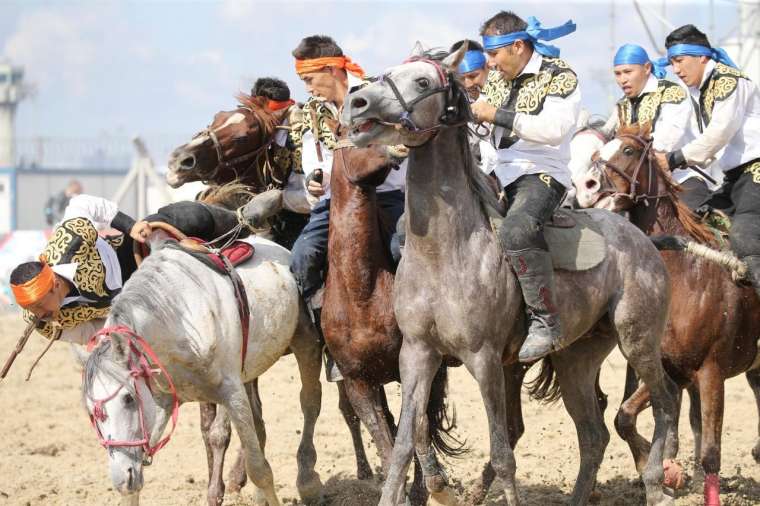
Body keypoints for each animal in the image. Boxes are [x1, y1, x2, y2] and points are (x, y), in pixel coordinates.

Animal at [81, 235, 324, 506]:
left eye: (128, 398)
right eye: (91, 412)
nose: (121, 477)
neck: (177, 322)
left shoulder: (232, 393)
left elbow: (259, 469)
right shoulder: (163, 401)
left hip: (305, 342)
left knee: (310, 402)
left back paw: (308, 481)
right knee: (259, 423)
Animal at [165, 93, 372, 504]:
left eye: (245, 133)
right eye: (217, 118)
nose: (181, 160)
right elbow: (240, 422)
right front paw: (227, 483)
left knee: (347, 406)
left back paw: (366, 470)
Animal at [342, 45, 680, 504]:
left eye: (424, 82)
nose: (357, 103)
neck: (446, 252)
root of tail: (644, 241)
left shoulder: (484, 359)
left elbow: (503, 455)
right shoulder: (417, 354)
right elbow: (402, 448)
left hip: (638, 339)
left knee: (664, 403)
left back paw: (657, 481)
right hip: (576, 357)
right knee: (594, 435)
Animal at [576, 123, 760, 506]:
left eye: (628, 151)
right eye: (599, 153)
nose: (586, 187)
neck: (687, 275)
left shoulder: (711, 373)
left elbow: (710, 454)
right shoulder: (669, 369)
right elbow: (624, 417)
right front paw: (663, 470)